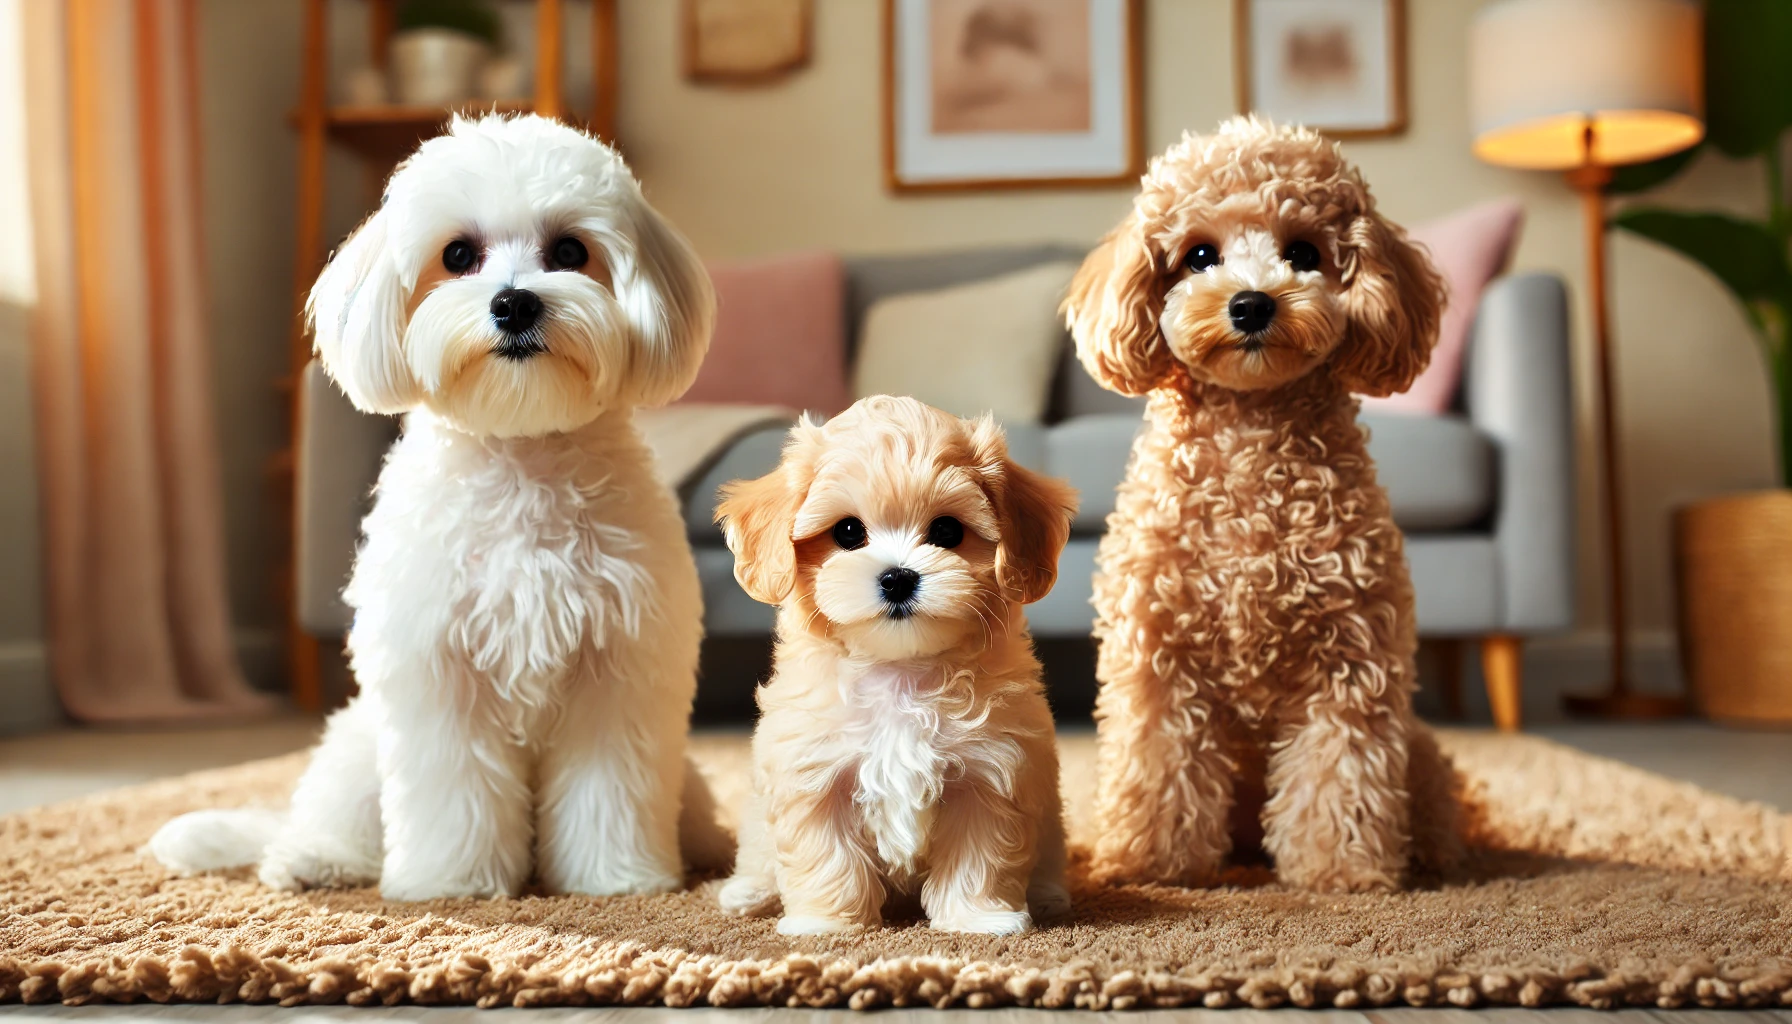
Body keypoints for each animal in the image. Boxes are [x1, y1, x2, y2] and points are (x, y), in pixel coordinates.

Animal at [146, 110, 720, 896]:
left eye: (571, 251)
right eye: (458, 255)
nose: (514, 302)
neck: (520, 455)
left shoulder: (617, 670)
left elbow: (608, 790)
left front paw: (615, 879)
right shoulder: (441, 668)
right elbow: (457, 792)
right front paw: (454, 882)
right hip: (358, 750)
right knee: (333, 818)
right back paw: (314, 858)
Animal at [713, 394, 1075, 939]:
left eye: (947, 531)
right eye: (847, 532)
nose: (898, 577)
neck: (901, 671)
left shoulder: (992, 772)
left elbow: (981, 854)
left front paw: (979, 918)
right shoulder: (812, 773)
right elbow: (825, 854)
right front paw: (825, 923)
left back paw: (1050, 894)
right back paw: (747, 894)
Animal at [1060, 116, 1455, 893]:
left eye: (1303, 252)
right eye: (1198, 255)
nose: (1251, 303)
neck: (1250, 441)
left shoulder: (1351, 656)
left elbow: (1340, 773)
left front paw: (1340, 869)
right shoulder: (1158, 657)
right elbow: (1158, 764)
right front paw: (1153, 864)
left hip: (1420, 749)